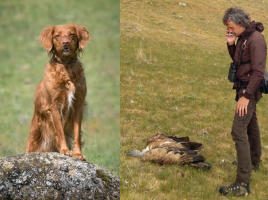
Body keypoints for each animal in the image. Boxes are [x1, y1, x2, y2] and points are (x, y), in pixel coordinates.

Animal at [26, 23, 91, 161]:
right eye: (57, 35)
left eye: (72, 34)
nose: (65, 43)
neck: (66, 67)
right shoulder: (54, 106)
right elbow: (60, 131)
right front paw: (65, 150)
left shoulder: (78, 105)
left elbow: (77, 134)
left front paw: (78, 153)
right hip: (34, 136)